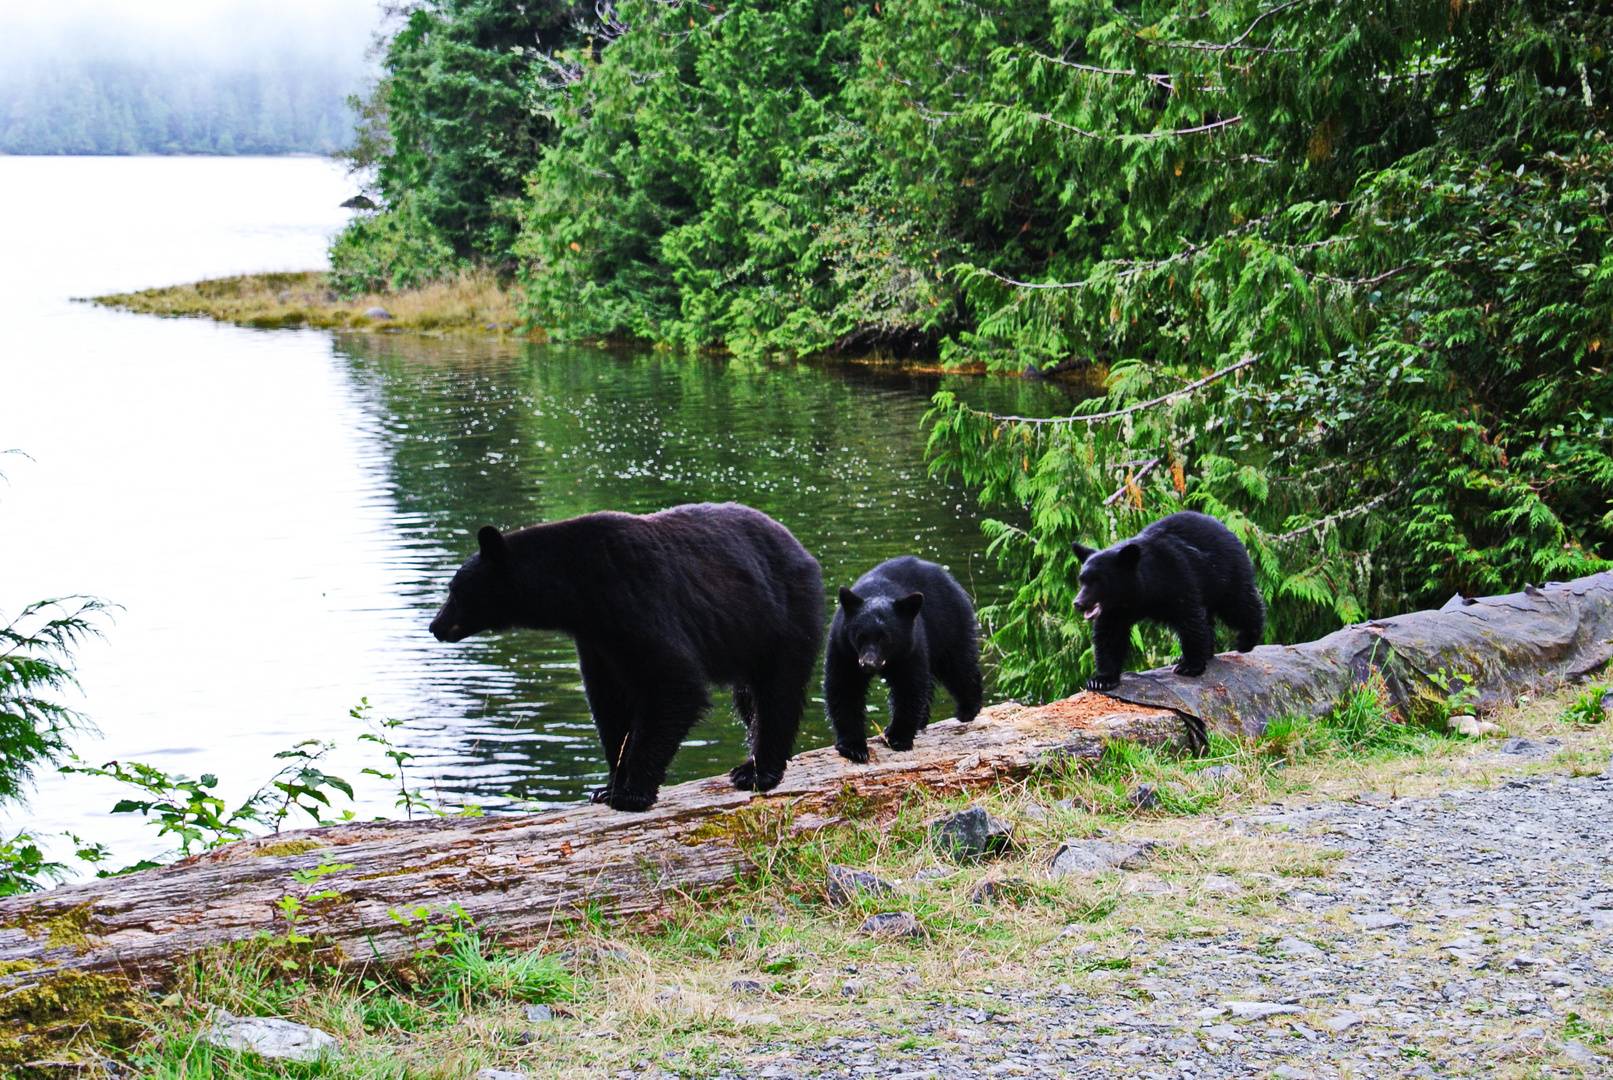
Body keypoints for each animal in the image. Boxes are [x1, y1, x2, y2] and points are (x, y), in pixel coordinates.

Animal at [429, 506, 825, 812]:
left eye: (455, 590)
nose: (435, 626)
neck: (579, 590)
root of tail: (802, 550)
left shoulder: (637, 603)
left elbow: (675, 684)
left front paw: (632, 792)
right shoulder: (598, 642)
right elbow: (609, 706)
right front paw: (608, 787)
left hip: (782, 617)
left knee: (775, 692)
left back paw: (757, 771)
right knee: (748, 700)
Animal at [819, 564, 980, 767]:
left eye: (885, 637)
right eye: (860, 636)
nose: (868, 664)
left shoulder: (910, 646)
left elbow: (909, 686)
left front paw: (898, 737)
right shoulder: (843, 649)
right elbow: (844, 687)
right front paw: (854, 748)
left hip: (949, 622)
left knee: (959, 664)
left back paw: (968, 709)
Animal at [1077, 509, 1264, 693]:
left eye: (1097, 581)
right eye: (1082, 580)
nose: (1078, 603)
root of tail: (1226, 528)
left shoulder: (1176, 575)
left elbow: (1190, 619)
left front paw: (1190, 666)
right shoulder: (1115, 610)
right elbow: (1110, 634)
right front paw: (1101, 680)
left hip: (1225, 573)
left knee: (1239, 605)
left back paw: (1247, 640)